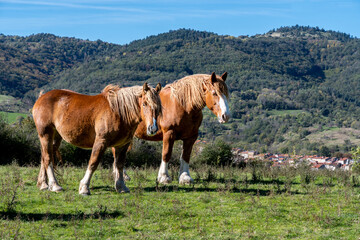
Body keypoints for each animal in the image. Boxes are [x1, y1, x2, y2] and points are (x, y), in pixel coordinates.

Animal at [32, 82, 162, 195]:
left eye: (158, 107)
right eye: (144, 103)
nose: (152, 128)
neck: (118, 111)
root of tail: (41, 97)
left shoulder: (122, 145)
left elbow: (119, 164)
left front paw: (121, 186)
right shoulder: (101, 141)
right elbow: (93, 162)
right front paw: (84, 188)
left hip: (55, 138)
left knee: (45, 157)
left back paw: (43, 184)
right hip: (46, 134)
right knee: (48, 158)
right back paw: (55, 185)